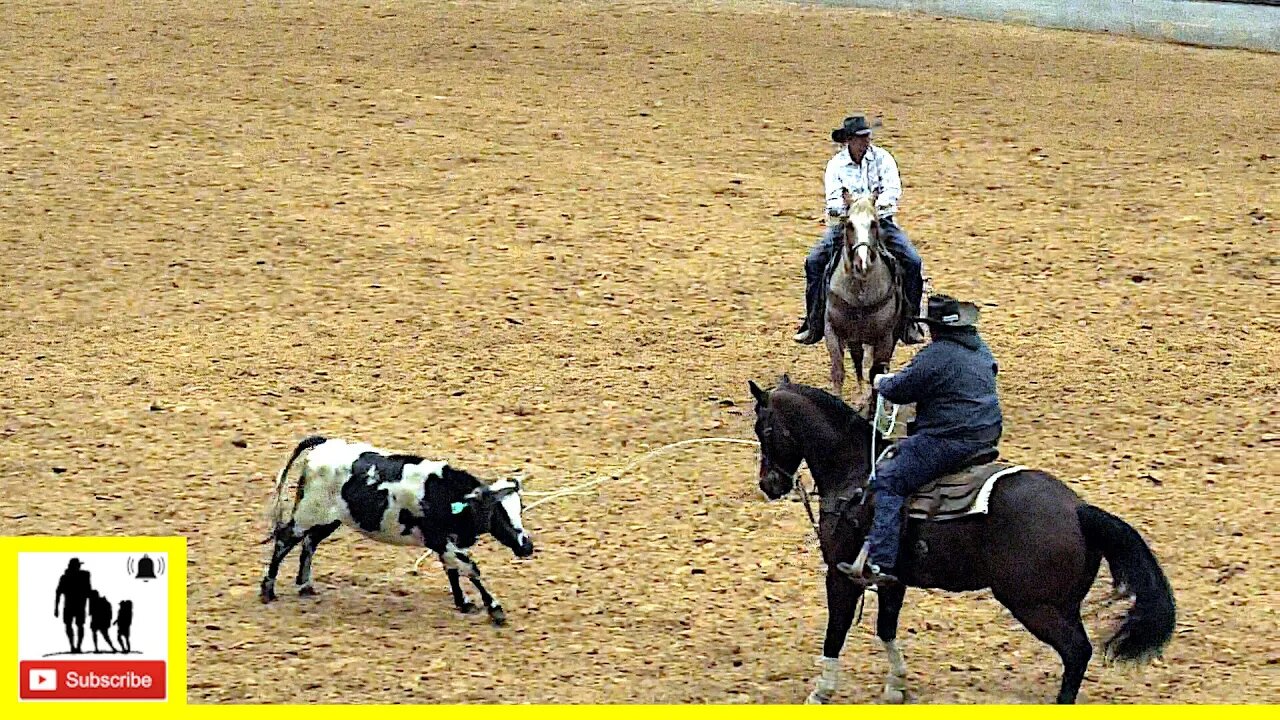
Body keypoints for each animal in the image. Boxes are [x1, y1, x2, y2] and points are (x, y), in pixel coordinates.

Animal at [747, 376, 1172, 702]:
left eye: (764, 430)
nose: (769, 484)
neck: (854, 472)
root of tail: (1078, 510)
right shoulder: (892, 580)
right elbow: (886, 628)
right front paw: (897, 686)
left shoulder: (840, 576)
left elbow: (835, 633)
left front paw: (821, 691)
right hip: (1063, 604)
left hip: (1034, 606)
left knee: (1076, 652)